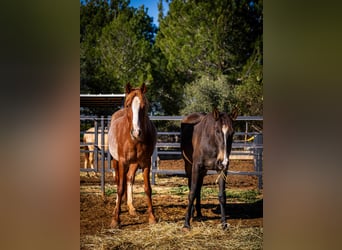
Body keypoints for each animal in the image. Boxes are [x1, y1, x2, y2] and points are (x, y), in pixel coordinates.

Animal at [107, 82, 157, 229]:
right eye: (128, 105)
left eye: (144, 106)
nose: (136, 132)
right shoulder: (122, 162)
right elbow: (120, 188)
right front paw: (116, 220)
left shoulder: (145, 162)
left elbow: (147, 188)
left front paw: (152, 217)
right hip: (115, 161)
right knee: (119, 181)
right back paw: (117, 208)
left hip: (135, 163)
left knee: (129, 178)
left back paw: (131, 207)